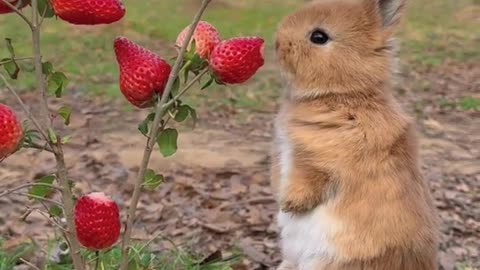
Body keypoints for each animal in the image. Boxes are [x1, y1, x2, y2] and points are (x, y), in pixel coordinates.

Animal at [270, 0, 438, 270]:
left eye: (319, 37)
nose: (277, 43)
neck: (342, 94)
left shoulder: (320, 160)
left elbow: (308, 181)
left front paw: (290, 205)